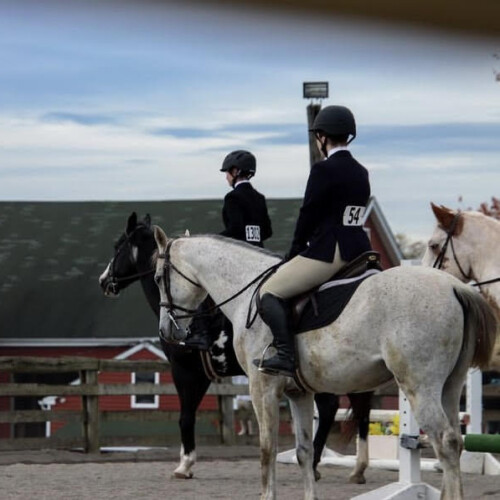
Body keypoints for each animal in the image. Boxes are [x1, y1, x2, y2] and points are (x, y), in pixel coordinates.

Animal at [154, 228, 498, 500]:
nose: (167, 332)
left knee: (446, 442)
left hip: (418, 387)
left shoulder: (261, 387)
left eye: (158, 278)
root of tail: (455, 286)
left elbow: (267, 451)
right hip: (449, 388)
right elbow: (304, 452)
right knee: (455, 441)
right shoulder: (298, 393)